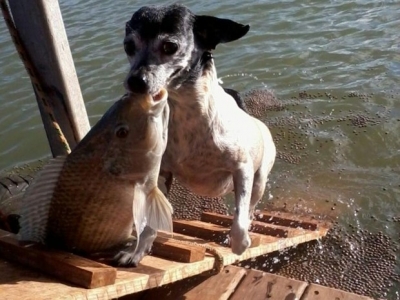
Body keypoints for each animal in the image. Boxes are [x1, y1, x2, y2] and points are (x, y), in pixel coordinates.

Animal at [117, 3, 276, 266]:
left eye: (170, 46)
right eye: (128, 46)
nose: (135, 81)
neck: (186, 117)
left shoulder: (242, 169)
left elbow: (239, 220)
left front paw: (239, 242)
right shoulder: (160, 175)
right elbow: (148, 224)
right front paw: (136, 251)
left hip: (260, 179)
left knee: (250, 207)